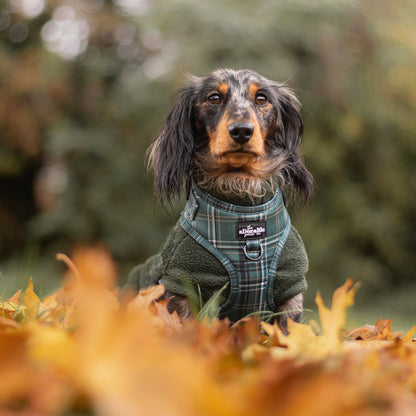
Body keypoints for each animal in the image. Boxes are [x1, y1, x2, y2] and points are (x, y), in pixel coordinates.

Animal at [125, 67, 314, 328]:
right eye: (214, 97)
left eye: (262, 98)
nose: (242, 130)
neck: (242, 208)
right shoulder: (184, 284)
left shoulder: (290, 288)